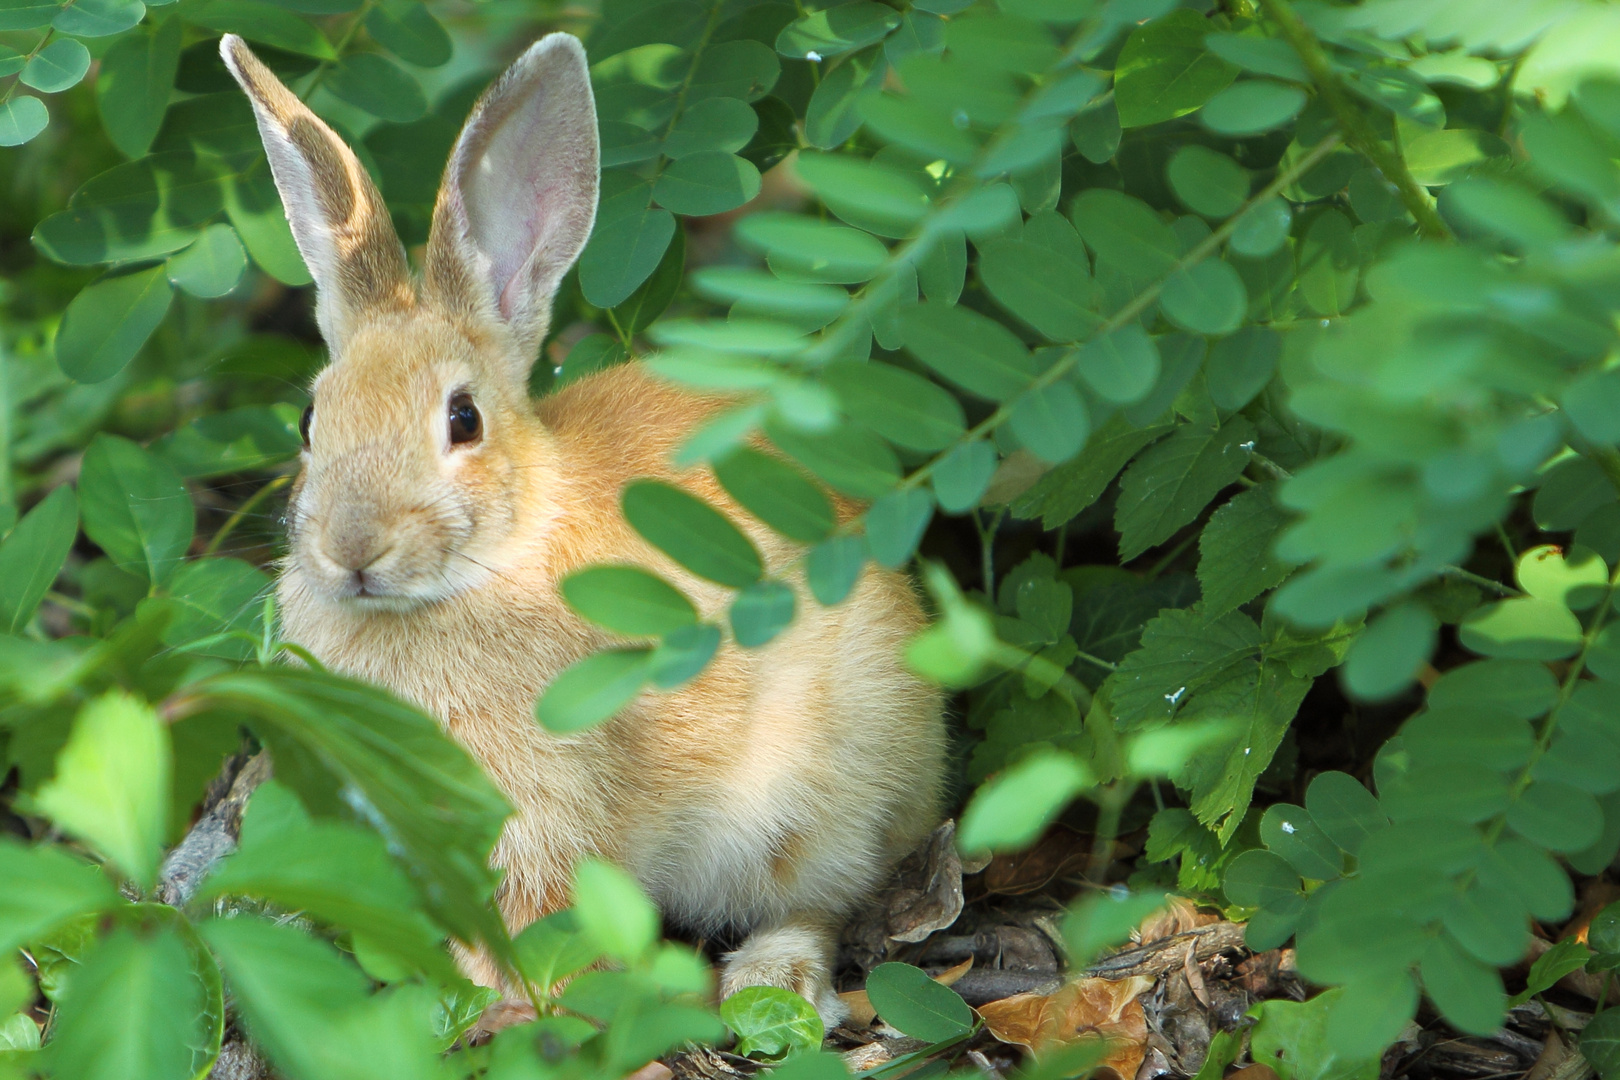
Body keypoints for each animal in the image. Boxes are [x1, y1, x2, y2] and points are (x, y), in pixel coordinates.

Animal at [221, 29, 946, 1029]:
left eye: (463, 420)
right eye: (308, 421)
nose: (353, 549)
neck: (493, 561)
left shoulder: (547, 818)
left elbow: (538, 927)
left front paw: (510, 1008)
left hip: (821, 795)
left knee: (823, 898)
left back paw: (772, 977)